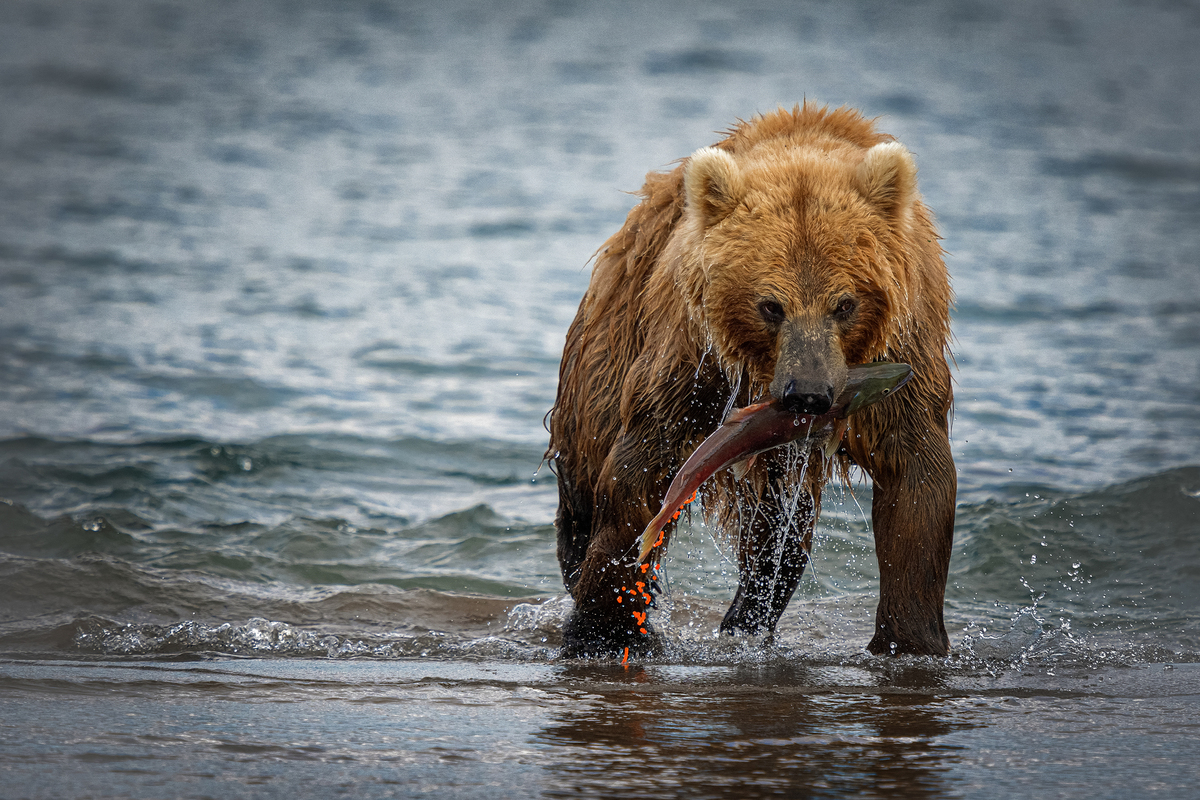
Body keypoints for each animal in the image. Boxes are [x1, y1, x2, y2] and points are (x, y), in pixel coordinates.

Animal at [546, 103, 956, 658]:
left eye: (844, 304)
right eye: (770, 305)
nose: (809, 396)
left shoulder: (904, 354)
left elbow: (916, 481)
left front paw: (911, 641)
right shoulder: (694, 364)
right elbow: (641, 471)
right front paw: (601, 628)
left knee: (781, 528)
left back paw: (746, 616)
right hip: (608, 346)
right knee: (585, 469)